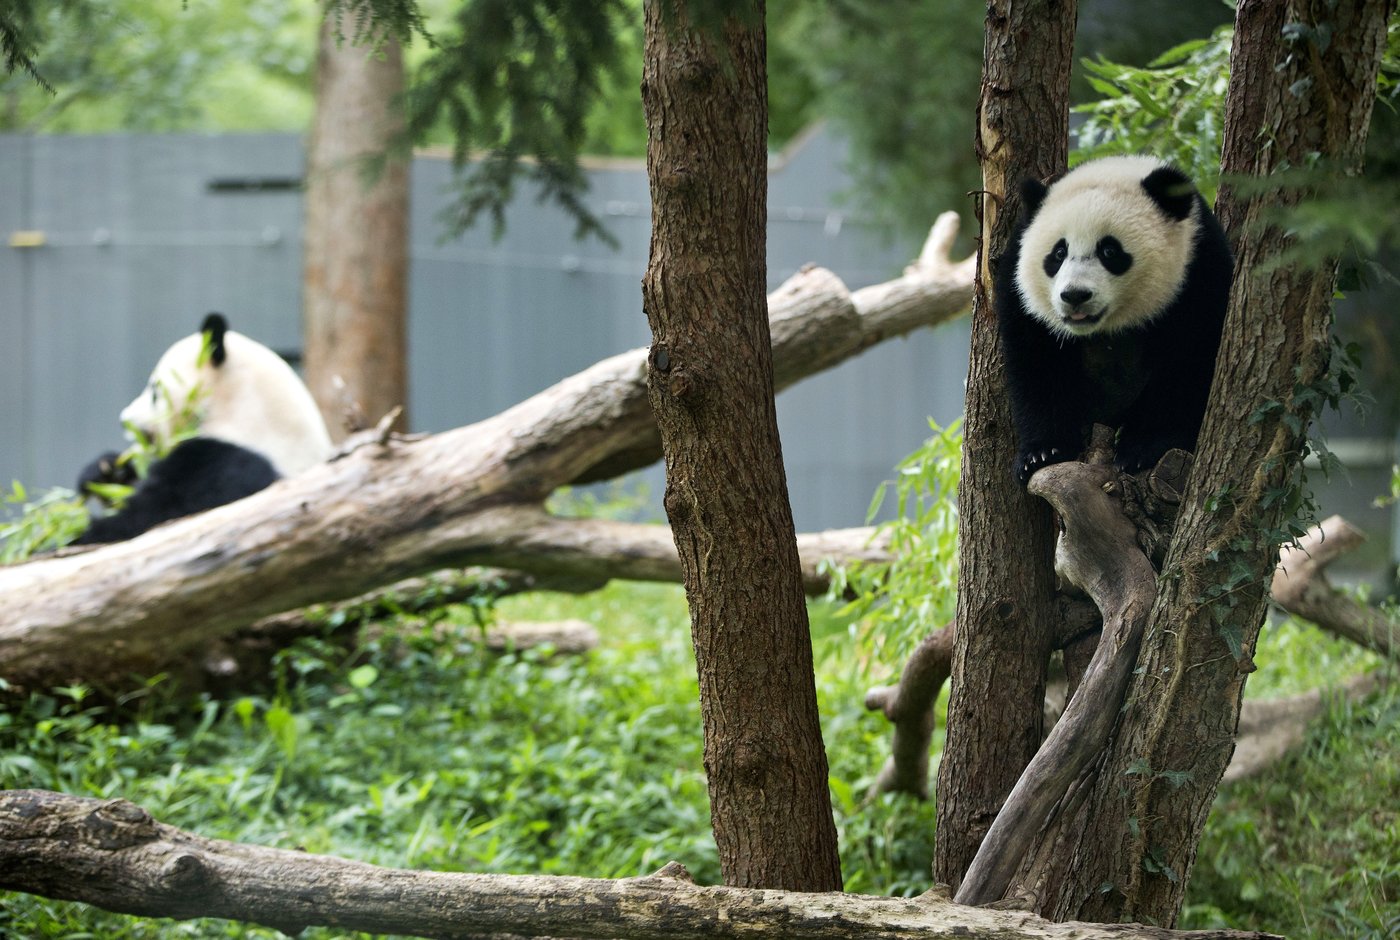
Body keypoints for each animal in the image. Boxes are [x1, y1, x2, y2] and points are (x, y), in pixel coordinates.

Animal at [995, 155, 1234, 485]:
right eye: (1058, 253)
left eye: (1109, 250)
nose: (1075, 295)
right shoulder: (1019, 293)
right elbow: (1037, 365)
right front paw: (1043, 453)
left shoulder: (1199, 271)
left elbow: (1188, 363)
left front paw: (1143, 448)